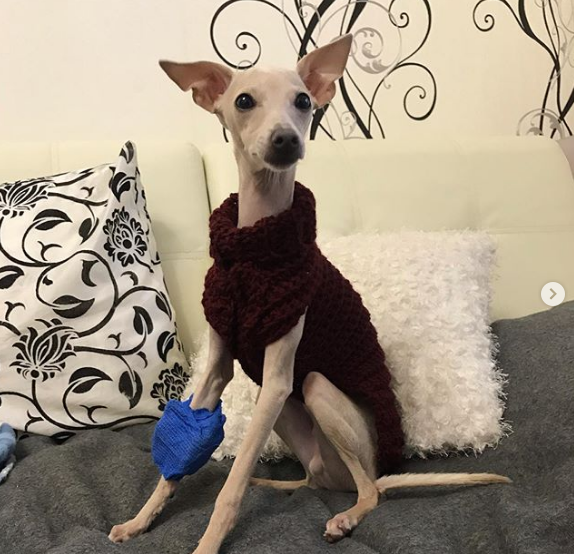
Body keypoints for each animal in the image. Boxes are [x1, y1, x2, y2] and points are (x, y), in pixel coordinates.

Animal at [109, 34, 512, 552]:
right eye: (243, 101)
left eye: (303, 101)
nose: (286, 139)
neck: (255, 249)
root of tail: (367, 470)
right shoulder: (220, 371)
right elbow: (180, 460)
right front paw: (141, 519)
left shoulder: (280, 374)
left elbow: (231, 487)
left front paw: (207, 542)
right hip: (286, 413)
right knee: (316, 479)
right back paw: (279, 483)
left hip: (314, 391)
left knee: (369, 491)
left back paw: (346, 515)